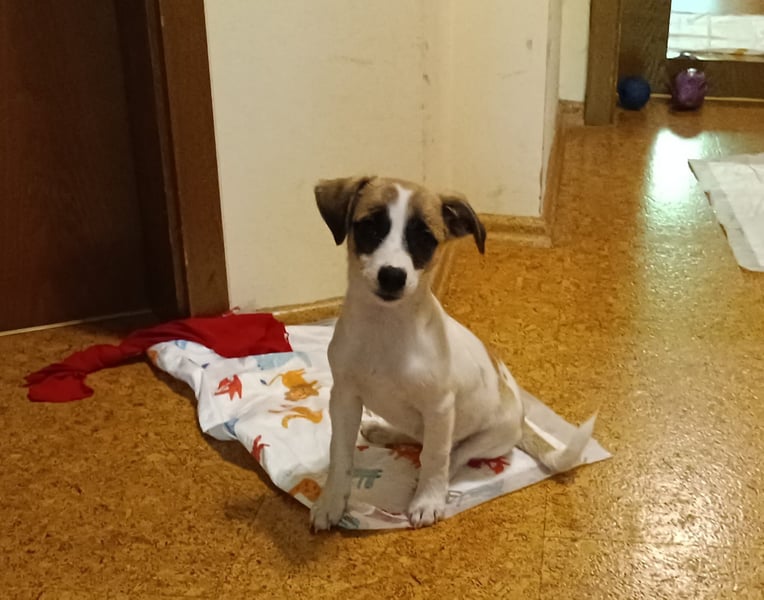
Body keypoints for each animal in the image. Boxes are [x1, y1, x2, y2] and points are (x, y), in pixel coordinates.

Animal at [310, 176, 595, 530]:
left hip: (484, 437)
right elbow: (340, 454)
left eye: (425, 238)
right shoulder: (344, 398)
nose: (392, 276)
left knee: (449, 455)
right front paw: (331, 502)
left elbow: (435, 457)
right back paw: (385, 431)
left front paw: (427, 501)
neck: (386, 327)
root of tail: (521, 417)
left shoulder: (440, 407)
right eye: (370, 227)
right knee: (418, 438)